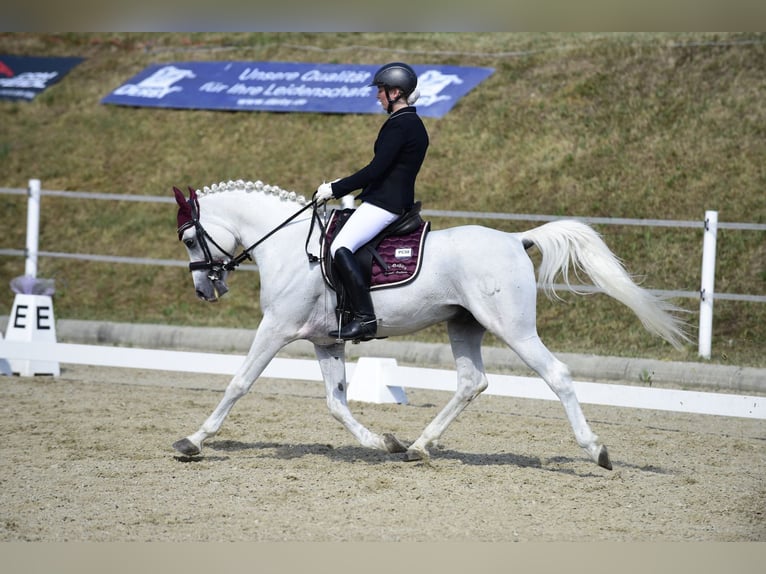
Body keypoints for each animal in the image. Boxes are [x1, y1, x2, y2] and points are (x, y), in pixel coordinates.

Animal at [171, 179, 689, 470]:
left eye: (190, 237)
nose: (203, 291)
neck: (290, 247)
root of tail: (515, 239)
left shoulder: (276, 328)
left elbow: (238, 383)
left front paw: (192, 441)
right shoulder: (326, 341)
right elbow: (337, 404)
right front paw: (384, 442)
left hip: (513, 328)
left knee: (556, 375)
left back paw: (596, 451)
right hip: (464, 325)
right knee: (471, 382)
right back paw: (419, 447)